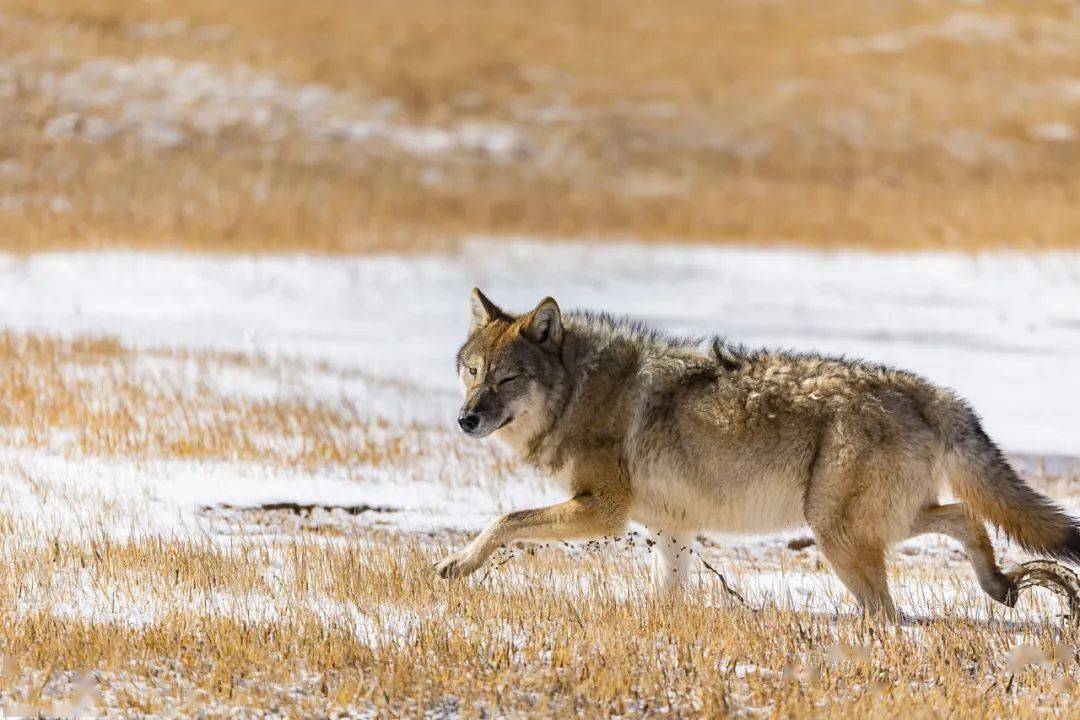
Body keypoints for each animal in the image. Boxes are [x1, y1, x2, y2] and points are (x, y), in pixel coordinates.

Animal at [434, 287, 1075, 621]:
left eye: (507, 379)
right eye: (472, 372)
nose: (466, 419)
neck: (578, 391)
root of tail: (928, 390)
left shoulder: (602, 511)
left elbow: (504, 520)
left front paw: (456, 565)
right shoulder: (671, 528)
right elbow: (665, 595)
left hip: (837, 534)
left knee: (890, 612)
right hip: (875, 522)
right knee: (966, 517)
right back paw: (999, 586)